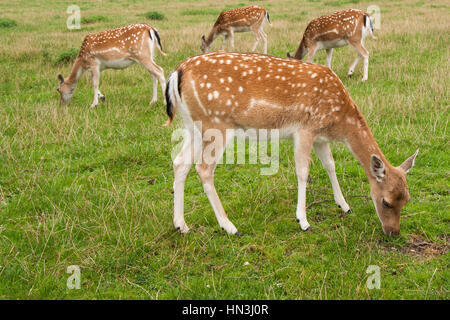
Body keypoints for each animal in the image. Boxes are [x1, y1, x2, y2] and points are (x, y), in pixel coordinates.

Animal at [165, 52, 418, 236]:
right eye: (386, 202)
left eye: (406, 200)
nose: (393, 232)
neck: (339, 121)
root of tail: (177, 73)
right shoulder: (305, 129)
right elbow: (303, 172)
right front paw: (303, 220)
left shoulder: (320, 137)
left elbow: (330, 165)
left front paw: (344, 205)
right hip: (216, 123)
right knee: (203, 168)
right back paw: (229, 227)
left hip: (194, 126)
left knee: (180, 162)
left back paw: (181, 225)